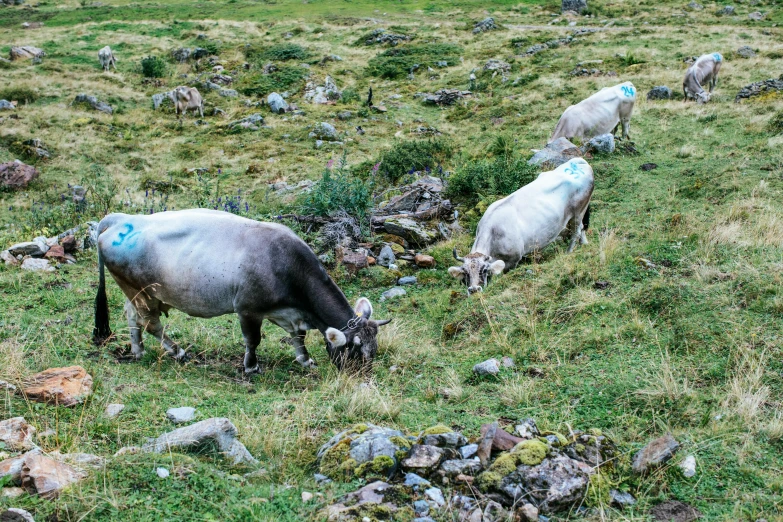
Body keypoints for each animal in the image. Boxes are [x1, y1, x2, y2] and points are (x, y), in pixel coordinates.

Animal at [93, 209, 390, 372]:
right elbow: (253, 340)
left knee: (132, 317)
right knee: (151, 323)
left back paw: (138, 350)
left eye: (374, 350)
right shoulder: (248, 309)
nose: (363, 377)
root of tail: (121, 219)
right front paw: (251, 366)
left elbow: (298, 337)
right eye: (356, 351)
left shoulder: (288, 313)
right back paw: (177, 351)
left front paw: (305, 360)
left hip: (136, 293)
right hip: (141, 291)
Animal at [448, 157, 596, 292]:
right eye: (465, 272)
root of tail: (578, 161)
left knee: (576, 231)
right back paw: (584, 243)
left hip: (578, 211)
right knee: (582, 228)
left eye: (484, 270)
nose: (474, 289)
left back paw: (568, 252)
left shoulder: (514, 260)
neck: (493, 233)